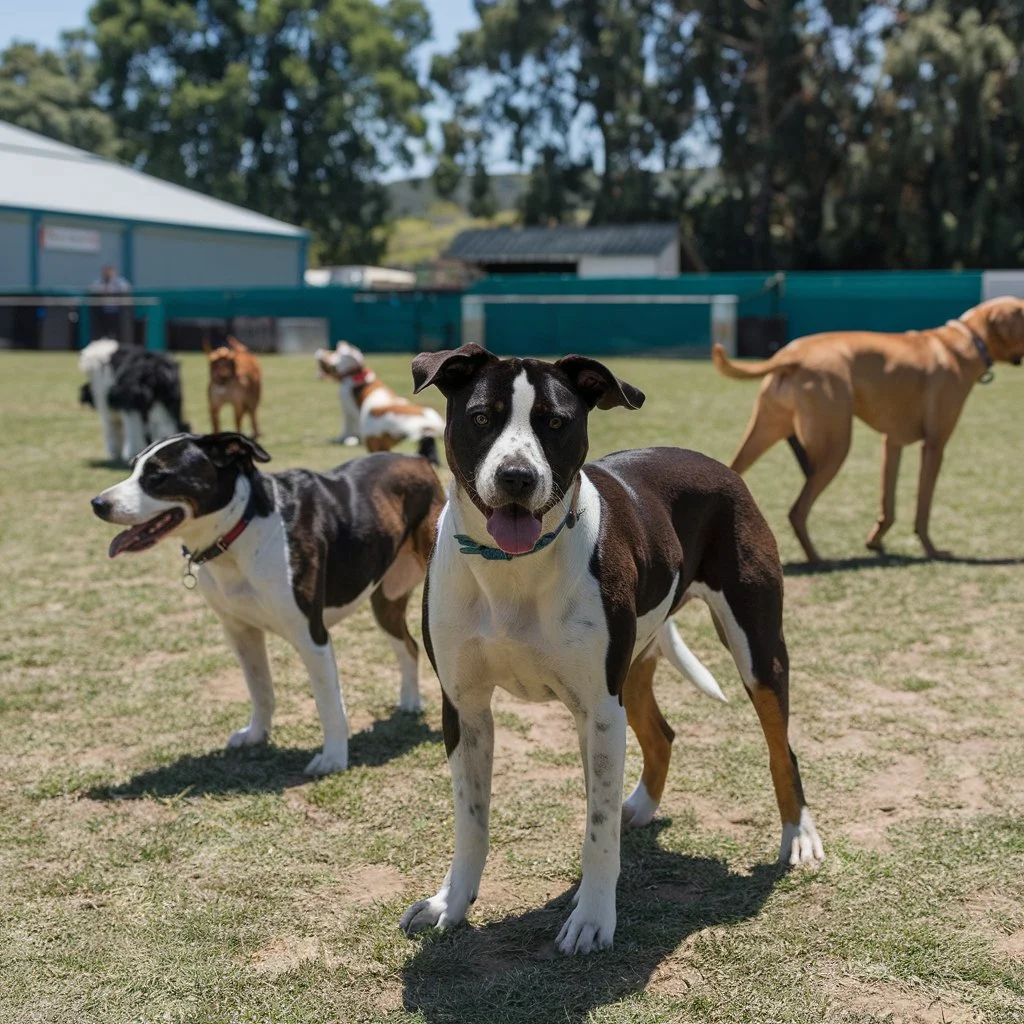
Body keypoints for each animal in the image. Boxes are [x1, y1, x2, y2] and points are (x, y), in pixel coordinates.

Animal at [399, 344, 823, 950]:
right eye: (481, 417)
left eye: (556, 422)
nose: (516, 476)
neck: (512, 570)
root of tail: (715, 465)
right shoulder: (465, 708)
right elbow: (471, 819)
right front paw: (451, 903)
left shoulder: (597, 710)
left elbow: (595, 829)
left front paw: (594, 917)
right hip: (633, 669)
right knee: (661, 734)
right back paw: (640, 807)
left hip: (756, 650)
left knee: (780, 746)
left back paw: (799, 835)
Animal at [712, 296, 1024, 565]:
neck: (968, 340)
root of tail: (792, 354)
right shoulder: (935, 446)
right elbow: (923, 508)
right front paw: (932, 550)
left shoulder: (892, 443)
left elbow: (888, 504)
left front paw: (876, 542)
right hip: (836, 448)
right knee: (797, 510)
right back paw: (818, 559)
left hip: (762, 434)